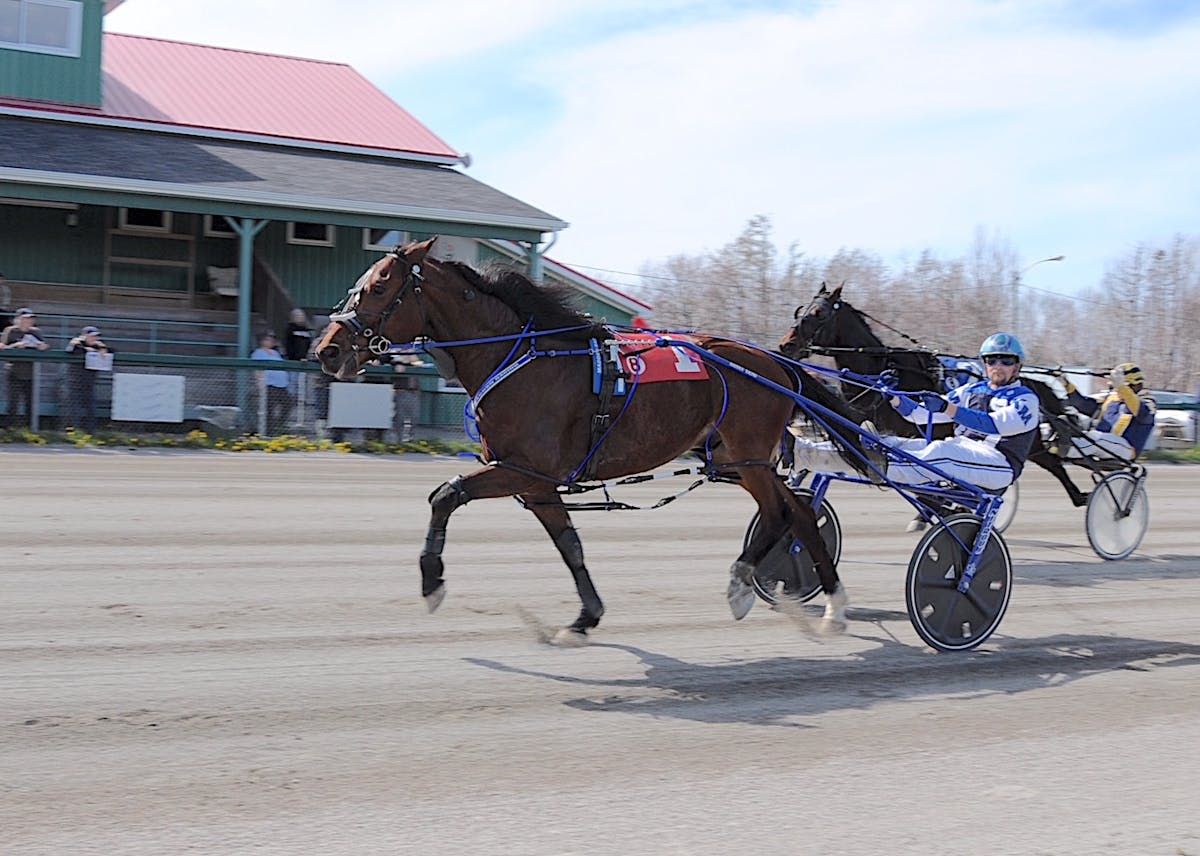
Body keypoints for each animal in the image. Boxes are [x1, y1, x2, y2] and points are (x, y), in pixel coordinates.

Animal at [312, 238, 873, 643]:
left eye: (379, 287)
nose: (327, 349)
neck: (521, 358)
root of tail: (771, 360)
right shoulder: (535, 482)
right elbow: (570, 546)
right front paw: (585, 618)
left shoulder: (519, 469)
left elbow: (445, 494)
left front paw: (432, 582)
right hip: (731, 459)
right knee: (797, 511)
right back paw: (823, 602)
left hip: (750, 456)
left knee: (783, 513)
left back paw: (756, 589)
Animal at [777, 283, 1099, 506]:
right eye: (800, 310)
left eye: (818, 313)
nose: (785, 344)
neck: (881, 366)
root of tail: (1032, 382)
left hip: (1032, 446)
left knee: (1053, 464)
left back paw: (1083, 497)